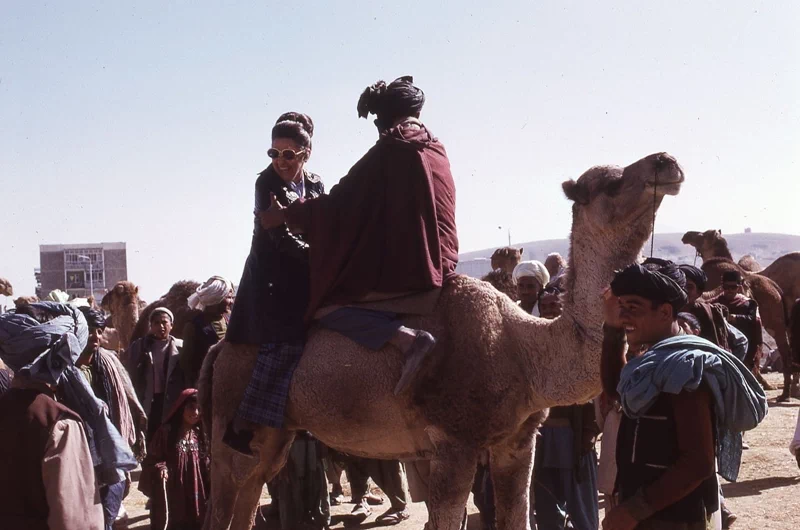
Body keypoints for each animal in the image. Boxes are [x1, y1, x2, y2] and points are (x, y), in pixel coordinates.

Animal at [198, 151, 680, 524]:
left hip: (272, 434)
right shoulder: (453, 443)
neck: (525, 351)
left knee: (250, 491)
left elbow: (516, 515)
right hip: (230, 423)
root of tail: (218, 350)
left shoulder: (517, 442)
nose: (666, 162)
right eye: (612, 183)